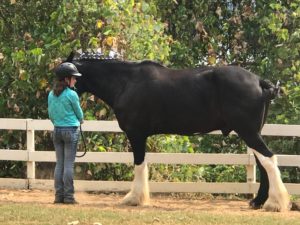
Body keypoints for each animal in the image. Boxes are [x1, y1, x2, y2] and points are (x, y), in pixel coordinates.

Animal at [64, 51, 290, 212]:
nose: (57, 93)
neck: (126, 82)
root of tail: (259, 81)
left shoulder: (136, 134)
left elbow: (139, 165)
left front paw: (134, 198)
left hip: (248, 131)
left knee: (269, 160)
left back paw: (274, 204)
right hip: (252, 132)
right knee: (264, 163)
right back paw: (259, 202)